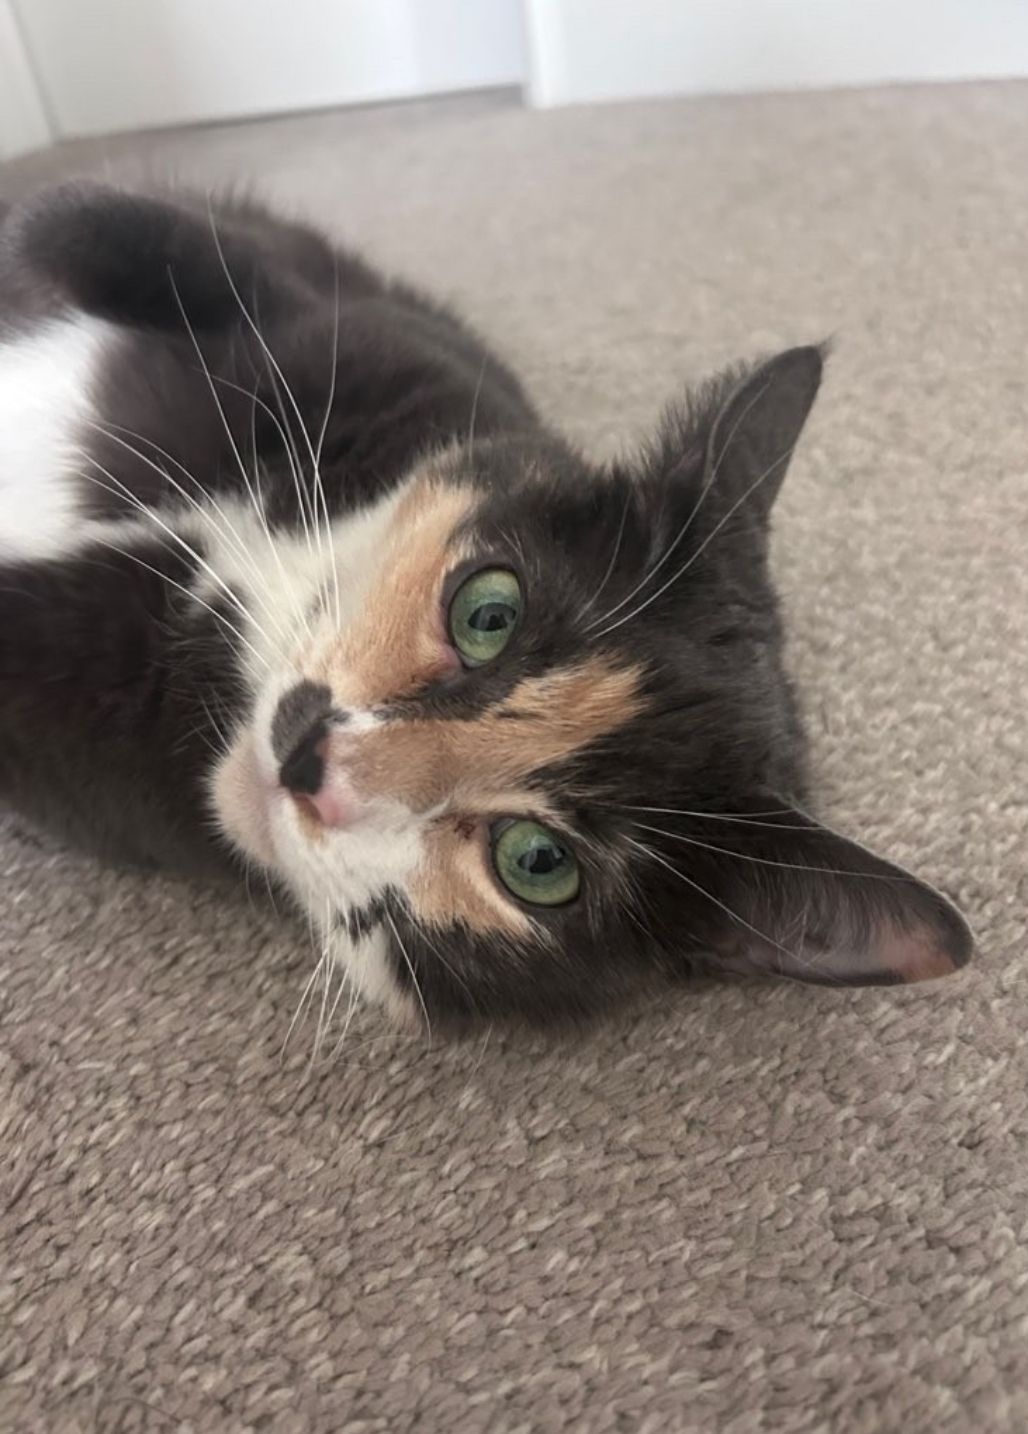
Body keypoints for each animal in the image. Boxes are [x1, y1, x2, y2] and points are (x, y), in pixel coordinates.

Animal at [0, 184, 969, 1026]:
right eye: (489, 613)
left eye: (536, 862)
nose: (311, 760)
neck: (279, 586)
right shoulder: (390, 347)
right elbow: (194, 249)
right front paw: (40, 239)